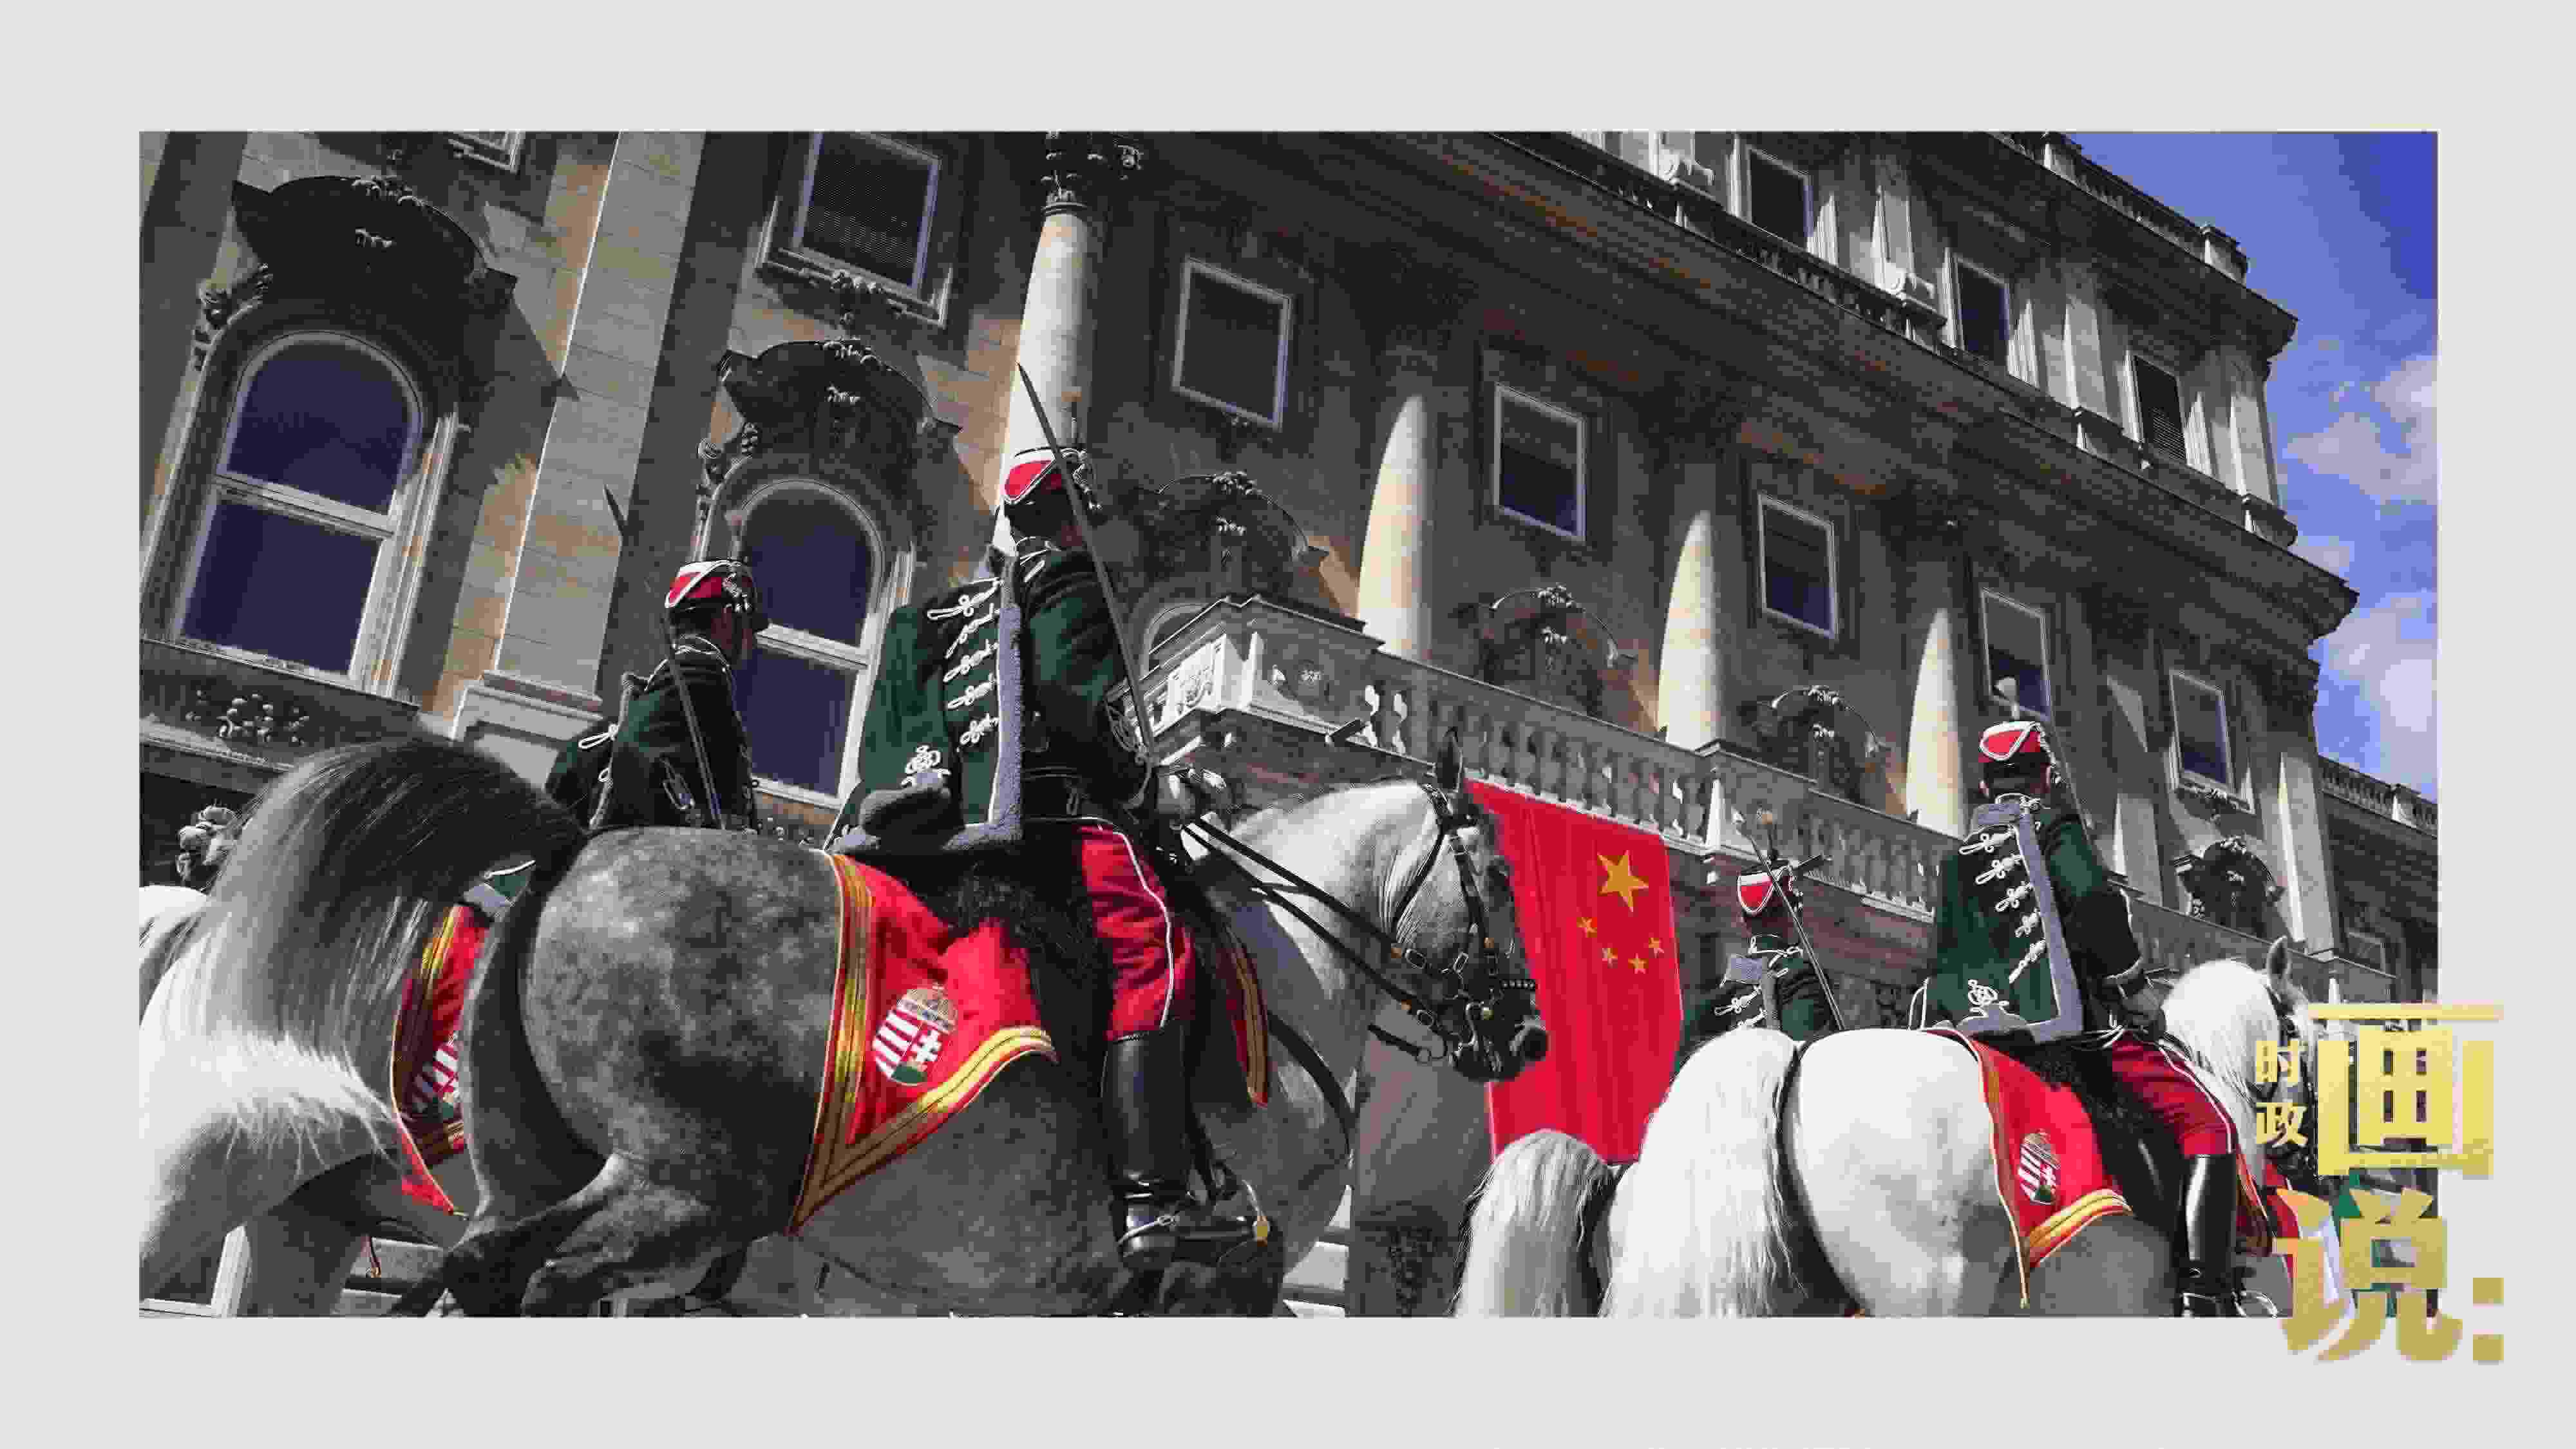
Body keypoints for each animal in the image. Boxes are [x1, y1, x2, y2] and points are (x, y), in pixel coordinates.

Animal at [142, 729, 1544, 1315]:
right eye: (1499, 876)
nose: (1525, 1037)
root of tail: (568, 857)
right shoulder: (1218, 1285)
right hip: (671, 1186)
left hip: (395, 1203)